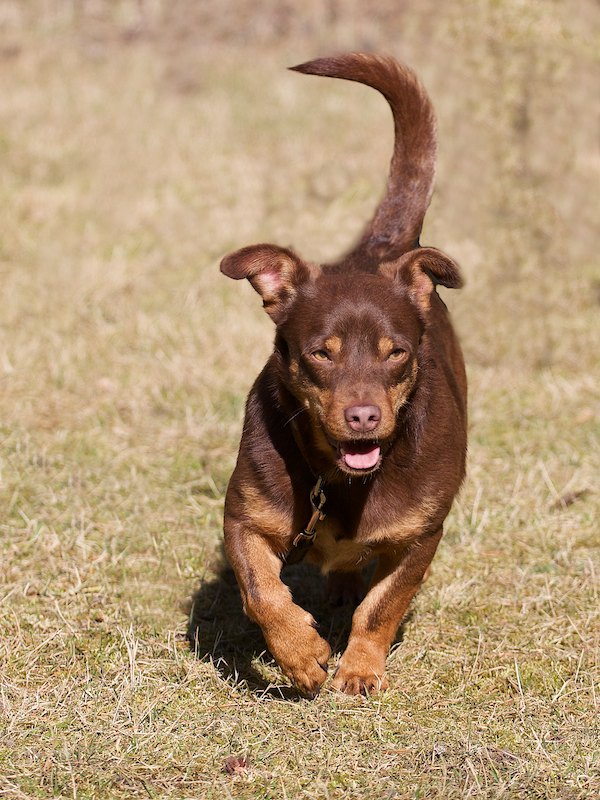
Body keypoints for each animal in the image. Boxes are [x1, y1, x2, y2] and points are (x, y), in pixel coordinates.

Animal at [219, 54, 467, 696]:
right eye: (321, 354)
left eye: (395, 352)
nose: (363, 416)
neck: (341, 480)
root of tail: (375, 251)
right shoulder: (243, 519)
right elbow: (261, 591)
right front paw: (301, 653)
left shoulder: (420, 537)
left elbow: (383, 605)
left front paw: (359, 668)